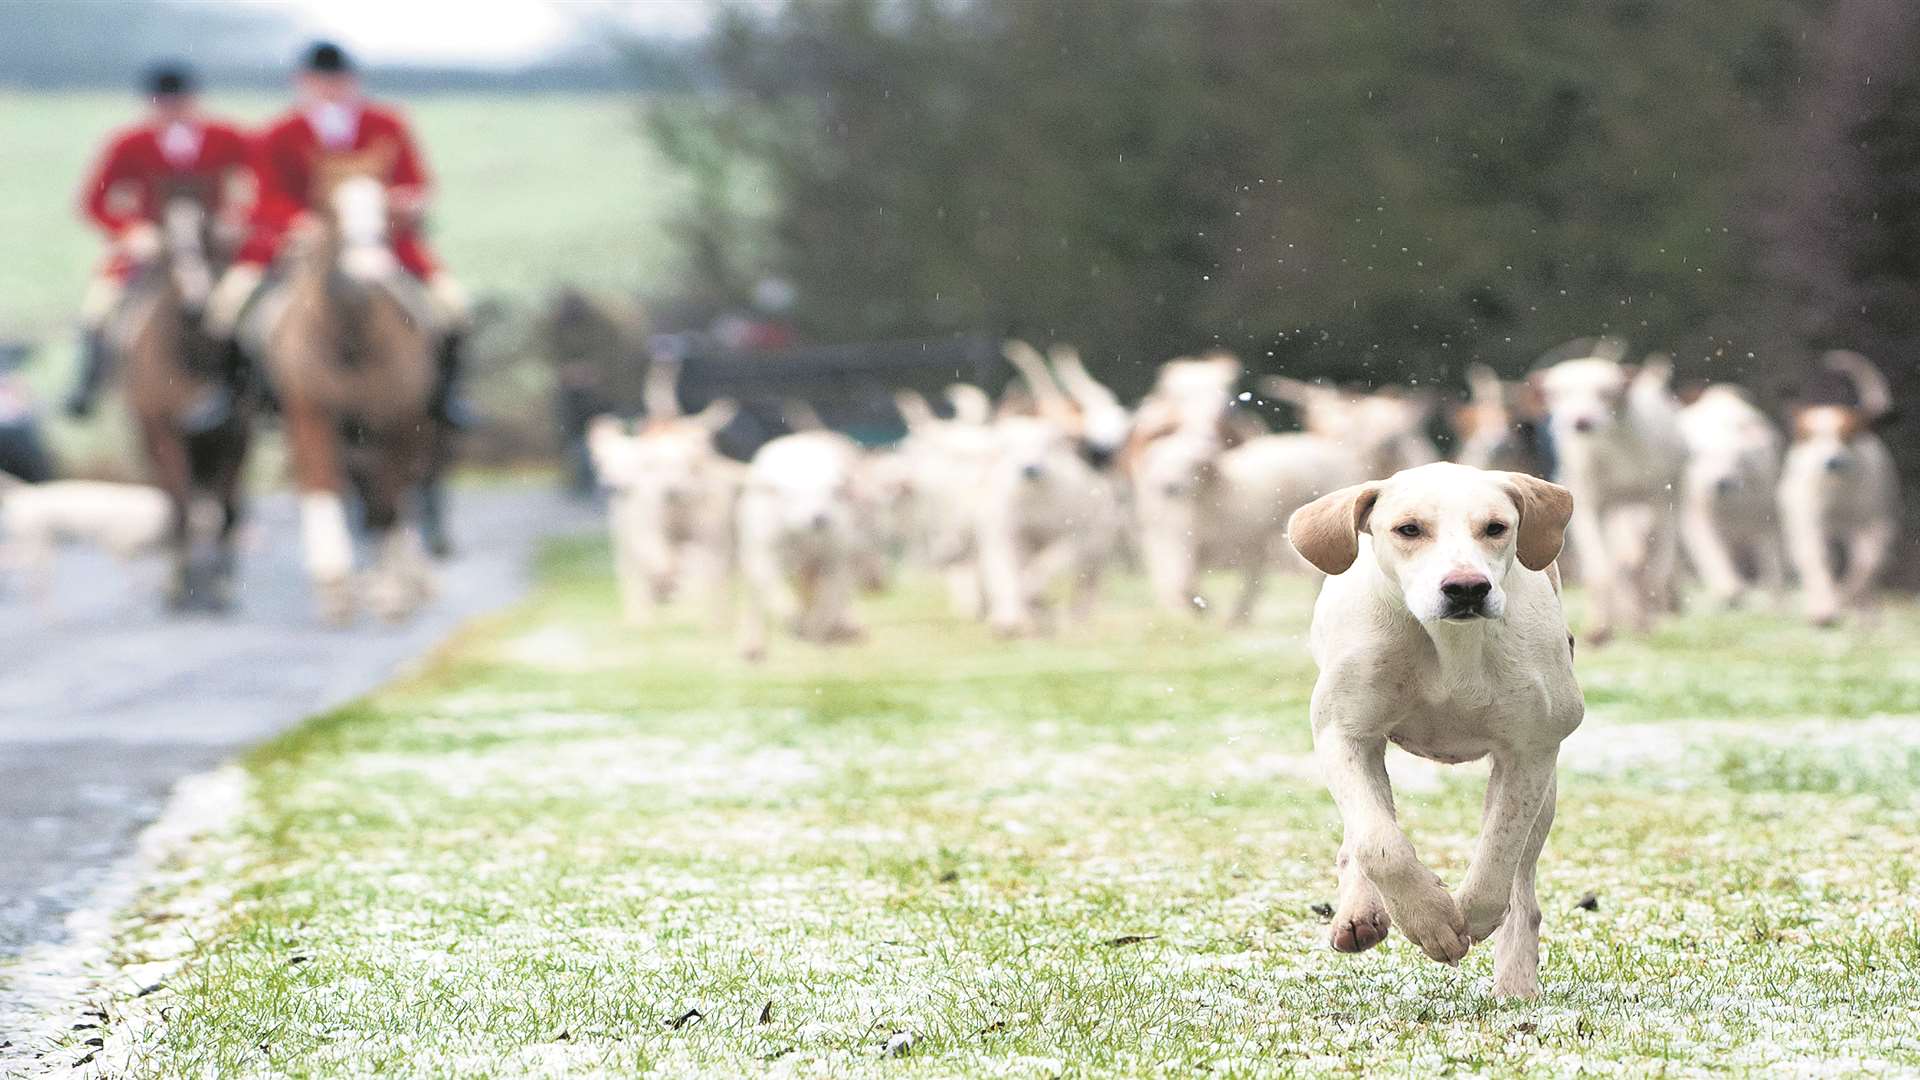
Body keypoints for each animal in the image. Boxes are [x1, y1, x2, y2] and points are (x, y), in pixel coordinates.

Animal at [119, 180, 251, 611]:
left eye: (209, 237)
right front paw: (179, 586)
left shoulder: (235, 436)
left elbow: (226, 510)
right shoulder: (167, 436)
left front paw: (221, 587)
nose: (196, 305)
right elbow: (180, 508)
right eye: (167, 245)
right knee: (180, 504)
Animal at [259, 147, 445, 626]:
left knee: (396, 499)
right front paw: (336, 586)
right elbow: (323, 488)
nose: (370, 269)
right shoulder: (311, 417)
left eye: (386, 209)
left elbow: (386, 506)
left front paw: (389, 592)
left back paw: (407, 579)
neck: (349, 342)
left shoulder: (395, 425)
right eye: (328, 207)